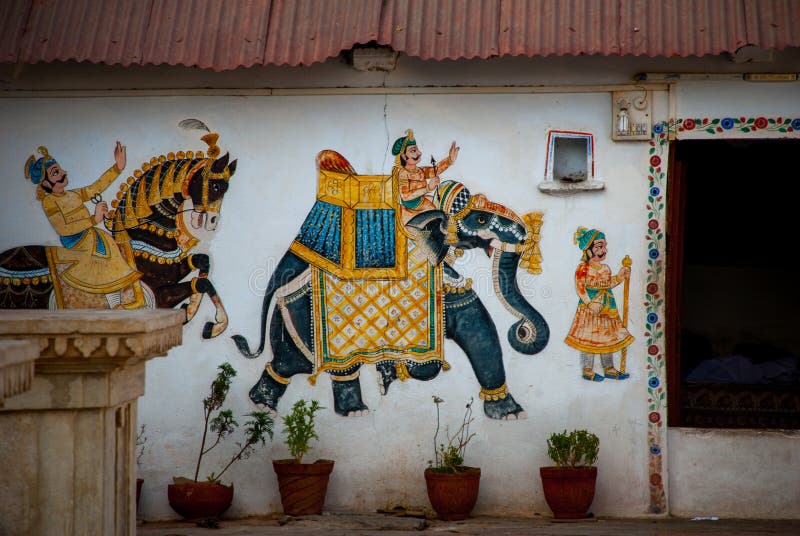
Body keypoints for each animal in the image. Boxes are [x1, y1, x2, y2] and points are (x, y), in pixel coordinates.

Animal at [228, 154, 548, 418]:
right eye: (480, 218)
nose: (521, 330)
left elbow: (477, 329)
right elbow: (477, 327)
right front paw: (511, 415)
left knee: (298, 362)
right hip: (303, 322)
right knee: (302, 362)